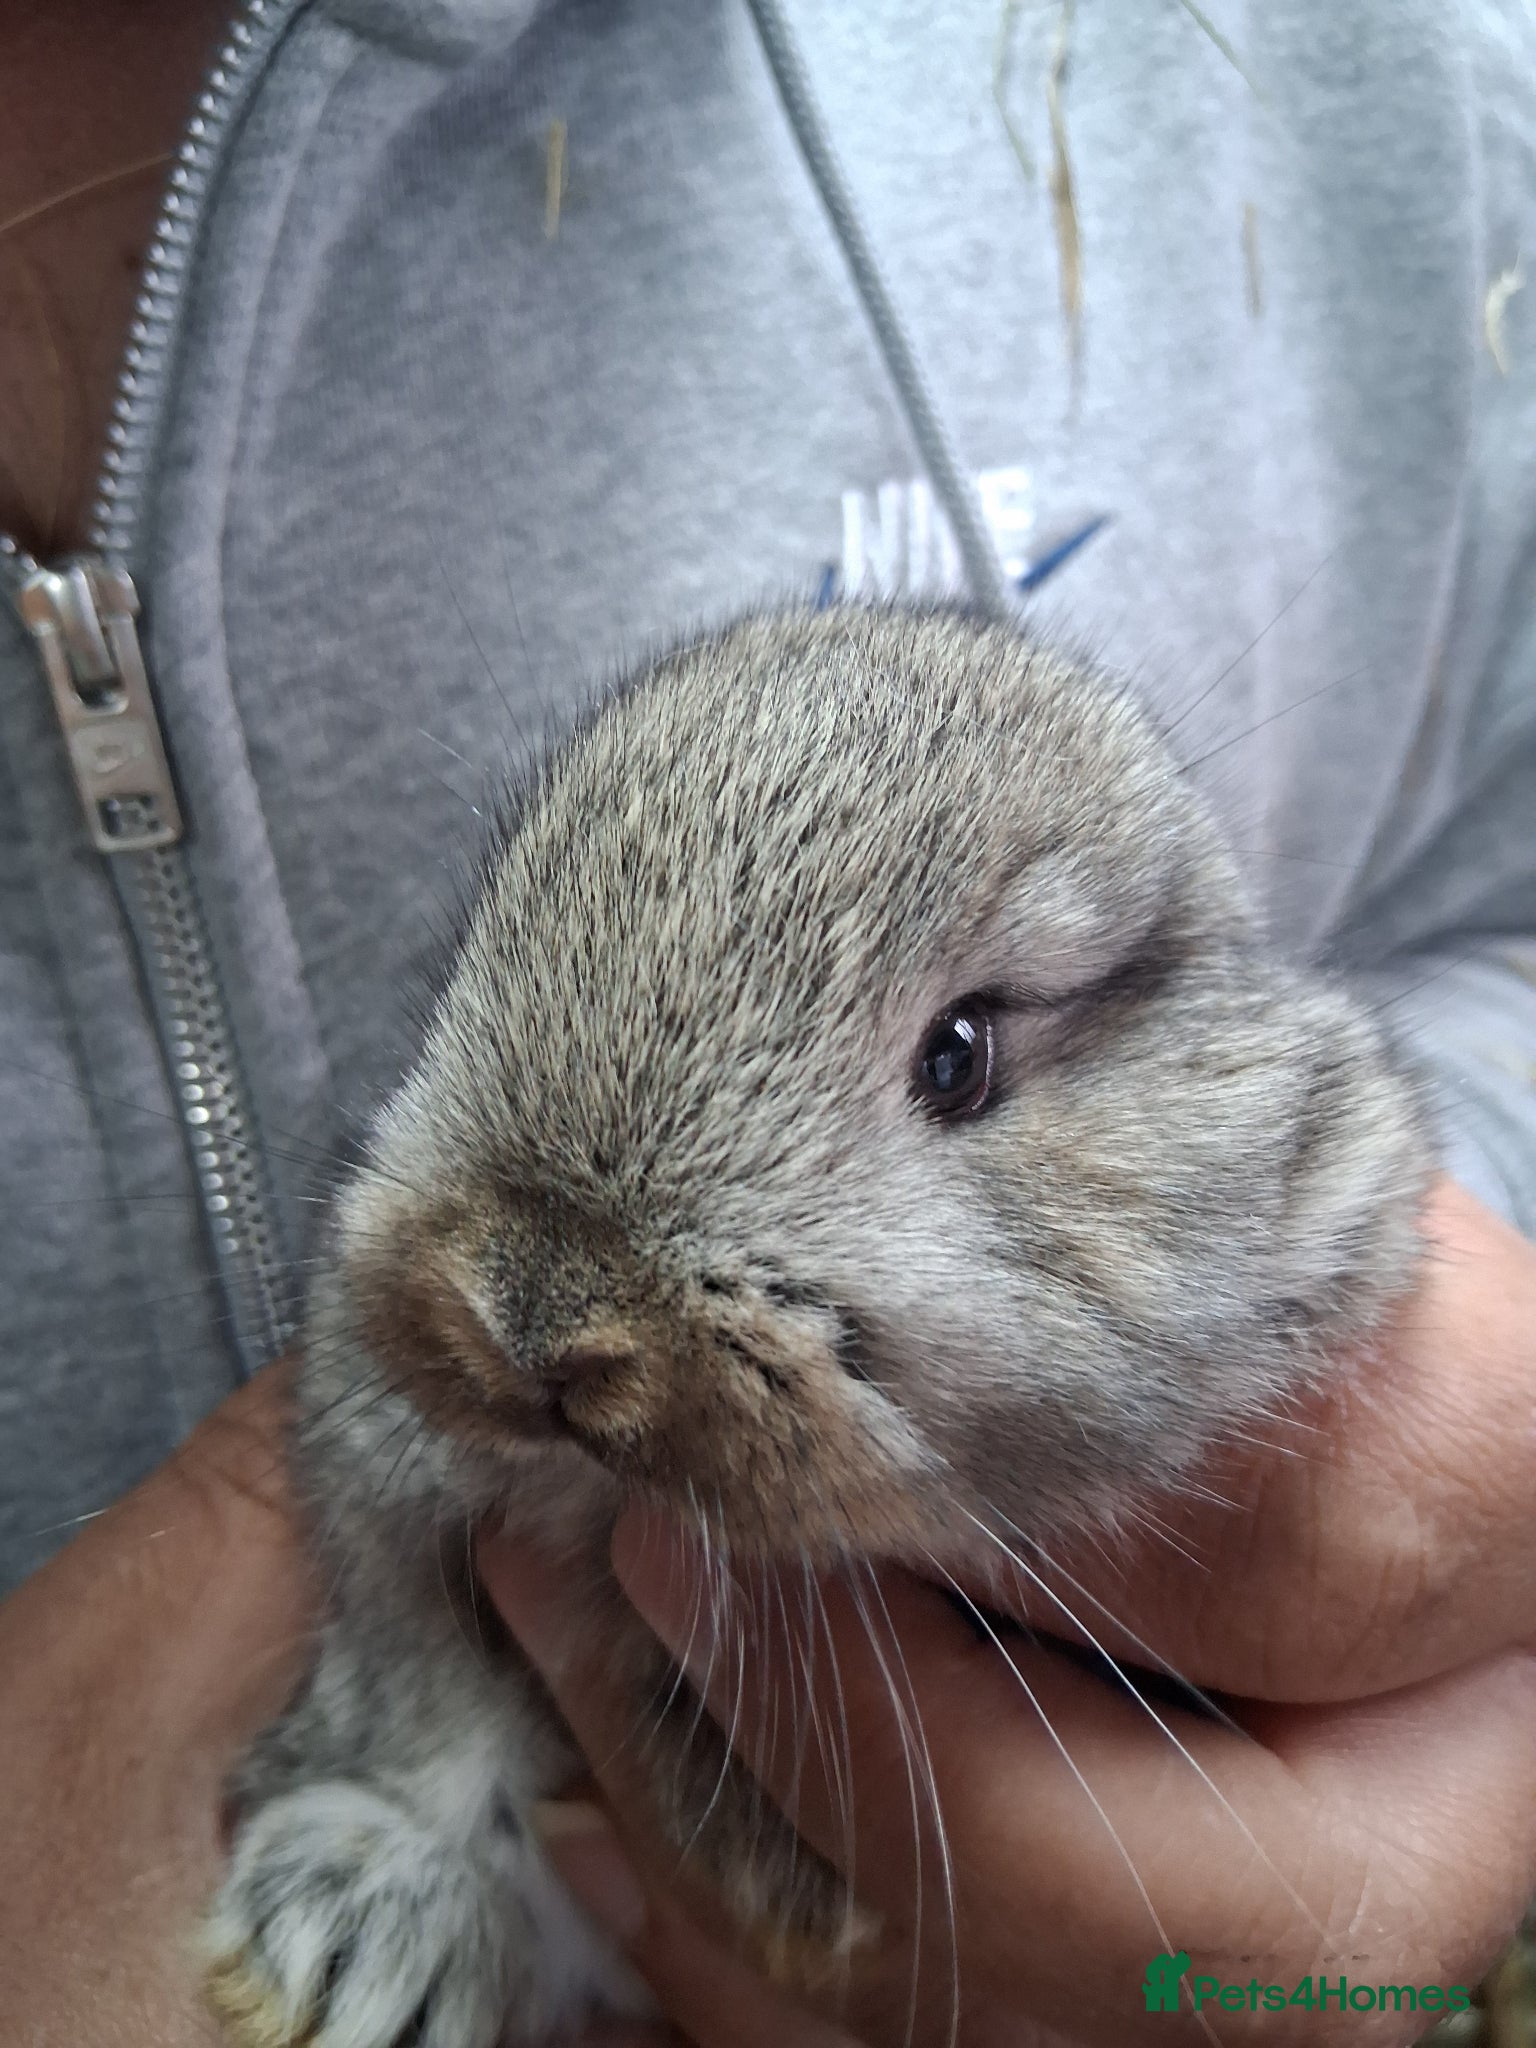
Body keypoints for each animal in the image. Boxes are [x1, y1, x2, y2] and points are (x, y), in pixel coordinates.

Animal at [202, 606, 1429, 2048]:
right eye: (490, 925)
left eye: (959, 1054)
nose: (535, 1317)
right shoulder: (396, 1504)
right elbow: (424, 1701)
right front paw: (351, 1929)